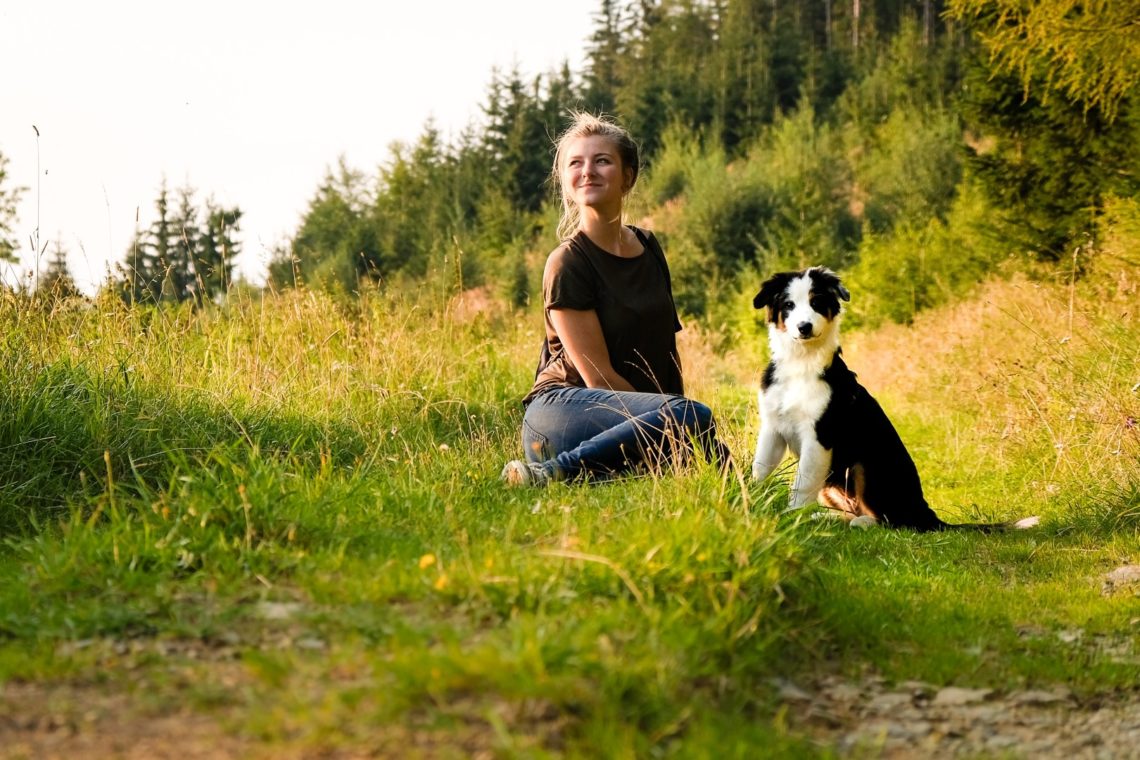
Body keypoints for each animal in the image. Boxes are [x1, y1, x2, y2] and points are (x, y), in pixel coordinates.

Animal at [752, 267, 1039, 535]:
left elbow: (803, 483)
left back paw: (861, 522)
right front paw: (753, 504)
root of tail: (926, 512)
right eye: (789, 305)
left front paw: (793, 518)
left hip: (865, 465)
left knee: (891, 520)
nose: (804, 327)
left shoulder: (819, 435)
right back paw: (825, 517)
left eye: (817, 302)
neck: (801, 362)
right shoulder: (773, 427)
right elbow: (760, 468)